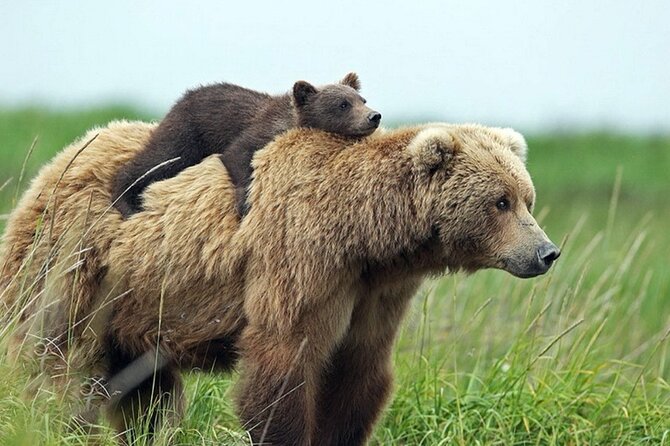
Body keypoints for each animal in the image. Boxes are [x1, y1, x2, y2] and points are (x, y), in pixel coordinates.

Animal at [0, 121, 560, 445]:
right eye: (501, 201)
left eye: (526, 197)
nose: (546, 252)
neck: (366, 236)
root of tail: (59, 159)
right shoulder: (300, 260)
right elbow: (283, 365)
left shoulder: (374, 292)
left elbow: (357, 374)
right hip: (74, 265)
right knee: (56, 363)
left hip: (136, 306)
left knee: (145, 391)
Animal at [111, 72, 381, 218]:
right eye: (343, 104)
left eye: (362, 99)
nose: (374, 116)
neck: (290, 121)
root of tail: (181, 99)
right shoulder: (257, 131)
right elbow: (237, 154)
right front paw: (245, 202)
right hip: (187, 132)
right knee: (158, 159)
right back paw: (126, 201)